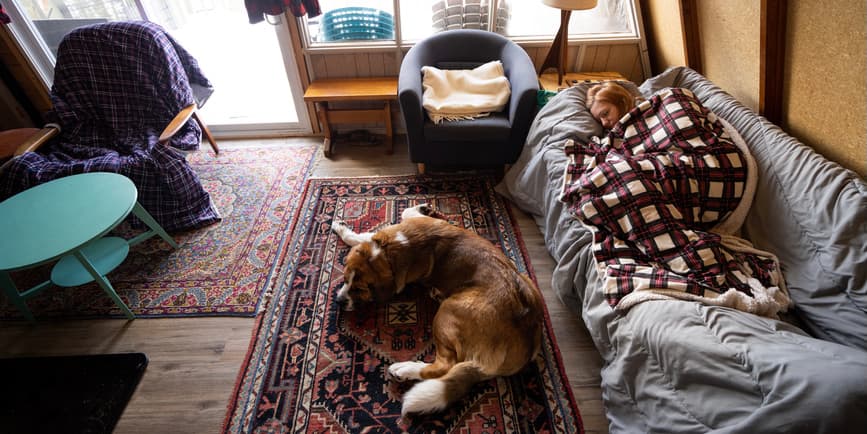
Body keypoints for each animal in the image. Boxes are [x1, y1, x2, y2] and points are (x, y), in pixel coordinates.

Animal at [332, 205, 544, 418]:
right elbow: (398, 218)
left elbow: (383, 224)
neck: (389, 251)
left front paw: (343, 230)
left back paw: (405, 369)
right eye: (345, 278)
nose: (339, 301)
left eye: (359, 289)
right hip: (527, 281)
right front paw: (422, 208)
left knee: (444, 366)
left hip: (447, 312)